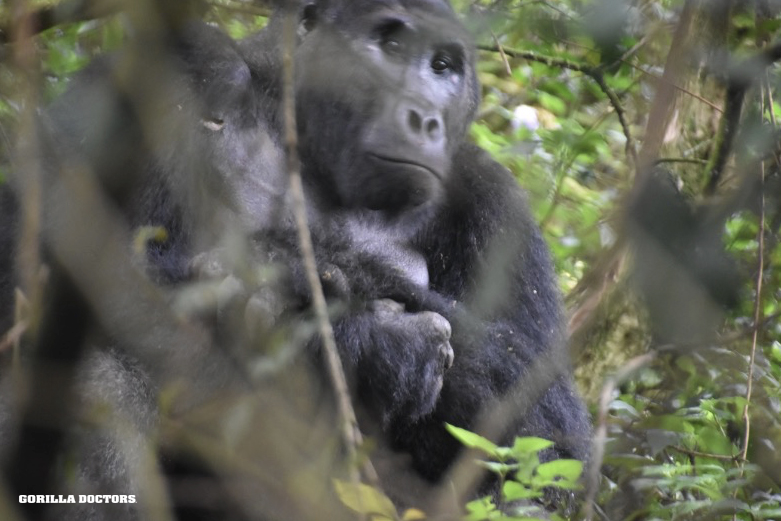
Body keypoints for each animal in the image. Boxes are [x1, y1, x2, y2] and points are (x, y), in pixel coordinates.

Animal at [0, 0, 584, 516]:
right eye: (391, 45)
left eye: (443, 66)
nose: (424, 118)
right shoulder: (175, 66)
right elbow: (33, 256)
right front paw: (345, 319)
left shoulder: (494, 200)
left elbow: (550, 437)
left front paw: (354, 324)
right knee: (97, 375)